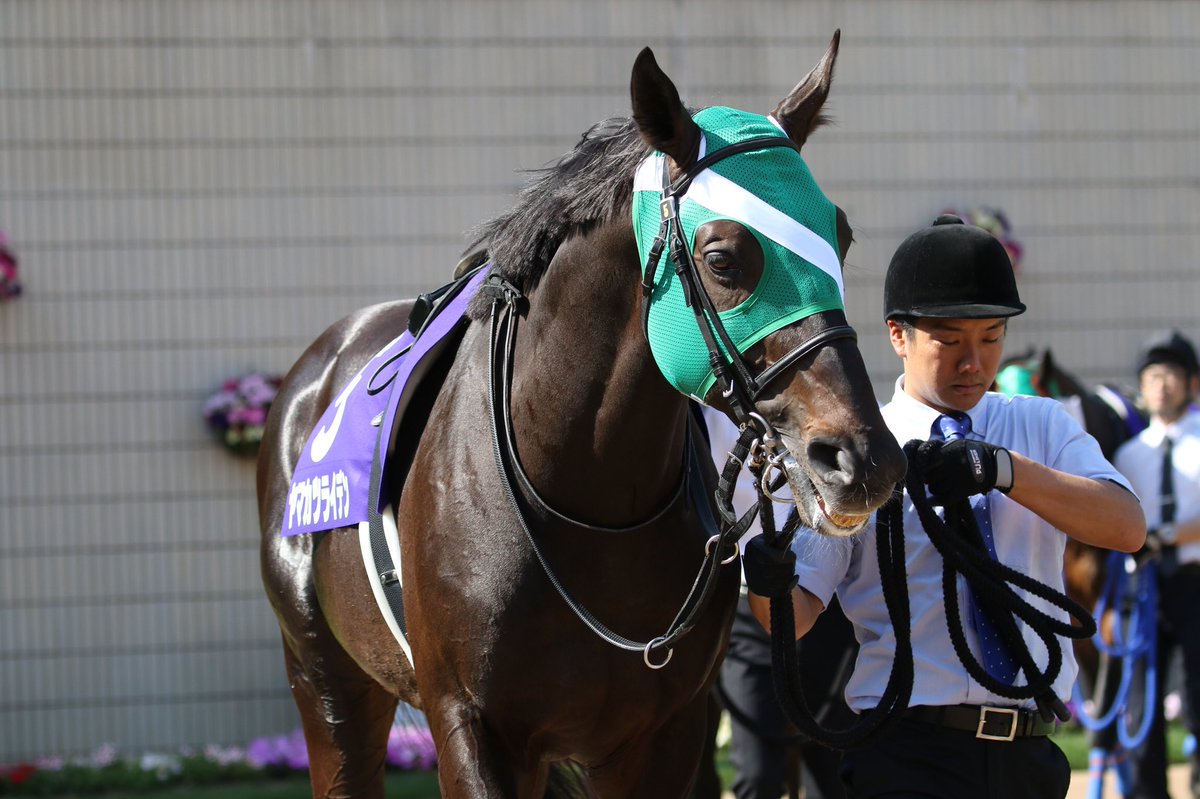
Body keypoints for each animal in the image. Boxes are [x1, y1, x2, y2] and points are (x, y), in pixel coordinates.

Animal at [258, 35, 902, 796]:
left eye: (841, 235)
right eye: (722, 258)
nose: (863, 458)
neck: (590, 501)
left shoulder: (660, 733)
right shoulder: (471, 725)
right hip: (326, 682)